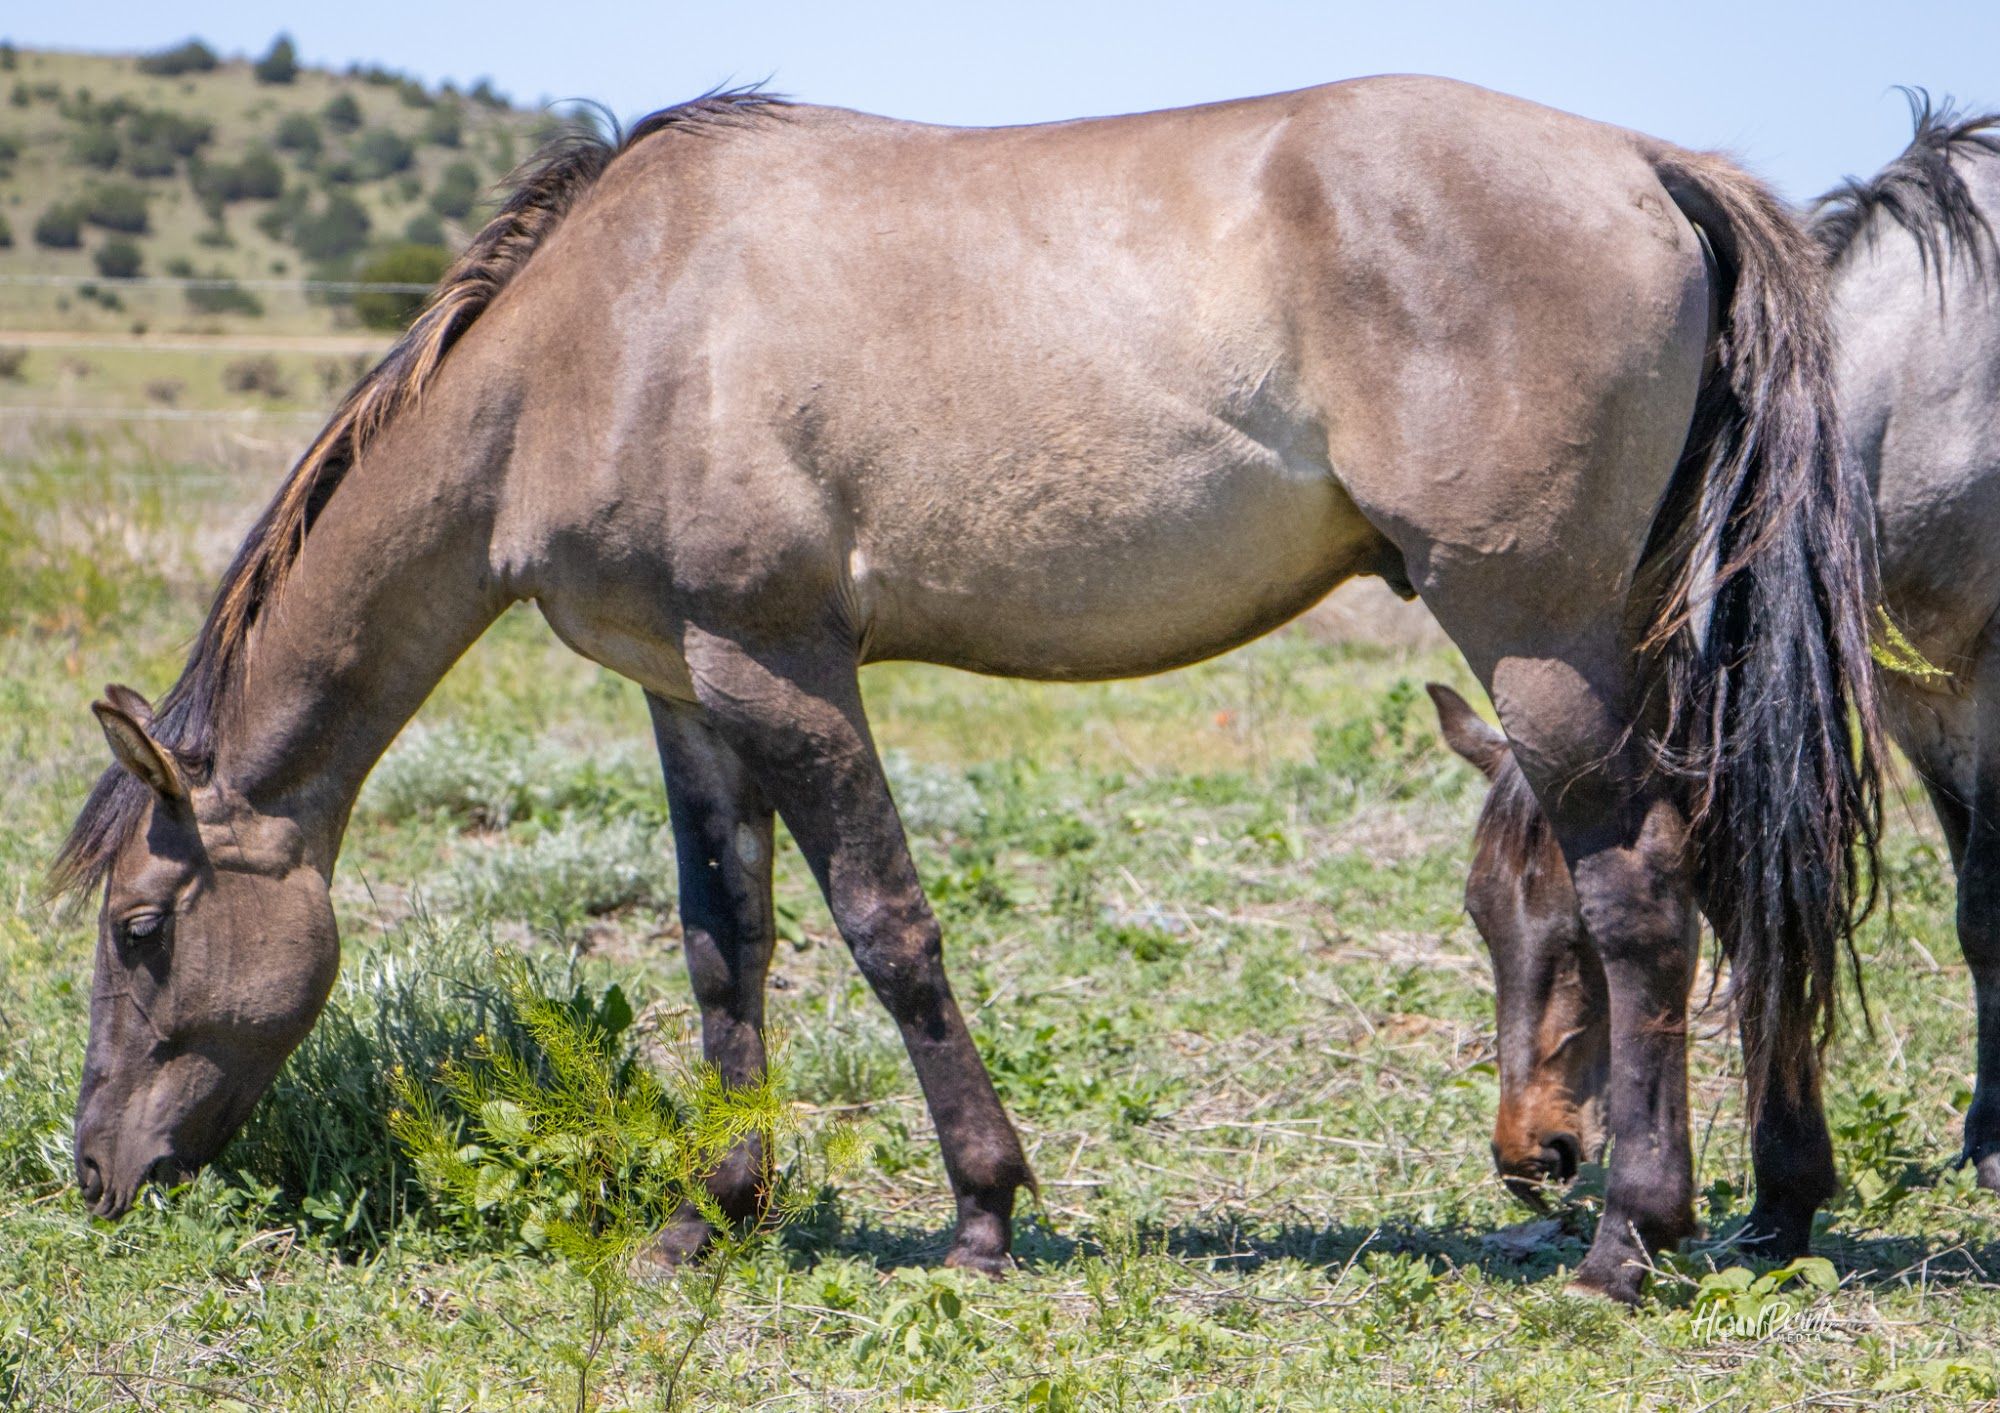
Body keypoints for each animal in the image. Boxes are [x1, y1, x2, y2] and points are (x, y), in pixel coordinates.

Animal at [51, 76, 1880, 1304]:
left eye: (142, 927)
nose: (92, 1171)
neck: (603, 335)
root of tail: (1647, 166)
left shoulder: (783, 669)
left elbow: (888, 929)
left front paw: (984, 1213)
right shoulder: (685, 694)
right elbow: (723, 947)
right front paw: (713, 1210)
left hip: (1539, 637)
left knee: (1637, 893)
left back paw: (1630, 1239)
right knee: (1713, 869)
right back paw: (1746, 1207)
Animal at [1422, 89, 2000, 1257]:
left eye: (1579, 931)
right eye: (1478, 913)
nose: (1526, 1154)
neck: (1934, 384)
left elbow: (1987, 910)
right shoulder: (1920, 704)